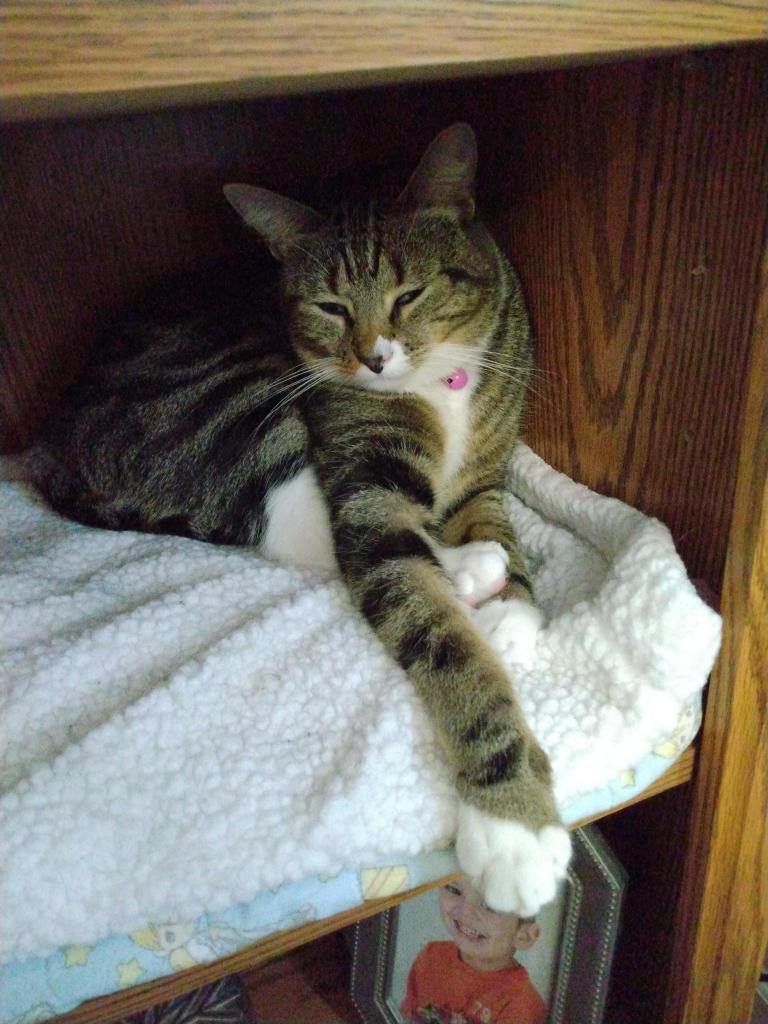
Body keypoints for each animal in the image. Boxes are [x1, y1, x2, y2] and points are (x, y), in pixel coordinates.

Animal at [40, 123, 573, 917]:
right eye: (330, 308)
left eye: (410, 293)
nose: (374, 360)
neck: (437, 384)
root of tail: (56, 439)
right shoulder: (360, 468)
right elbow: (422, 610)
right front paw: (514, 825)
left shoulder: (484, 466)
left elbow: (496, 522)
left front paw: (515, 610)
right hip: (232, 398)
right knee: (305, 525)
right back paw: (469, 575)